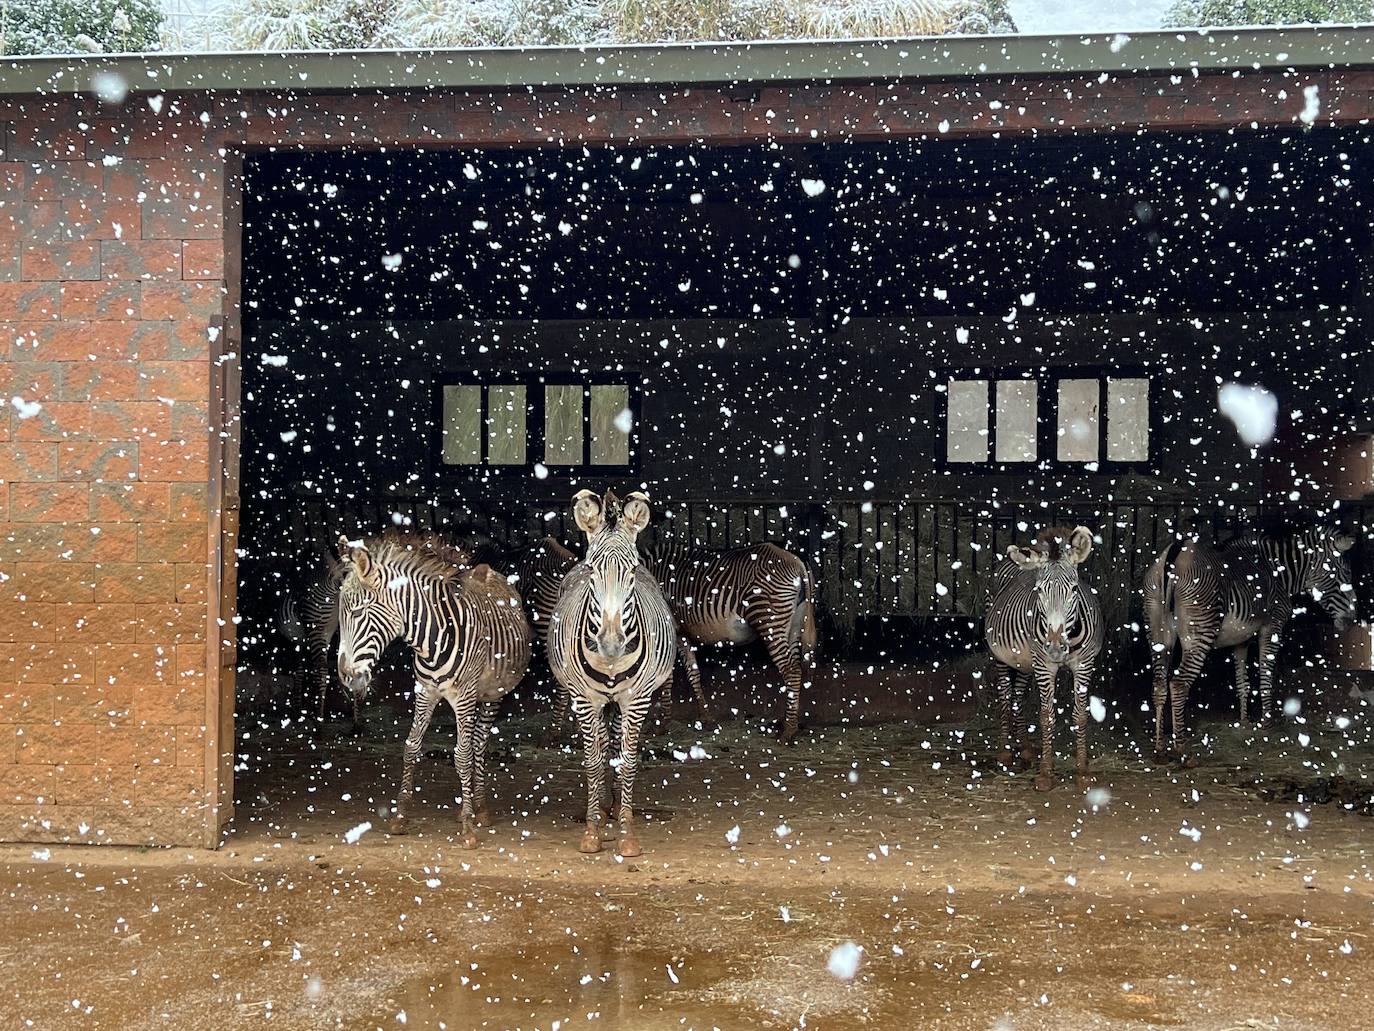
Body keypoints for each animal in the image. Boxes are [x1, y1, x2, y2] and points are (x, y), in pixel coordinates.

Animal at [332, 533, 530, 846]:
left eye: (359, 612)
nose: (347, 678)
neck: (431, 641)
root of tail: (492, 572)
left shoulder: (464, 696)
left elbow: (462, 755)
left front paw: (468, 827)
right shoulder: (425, 691)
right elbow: (411, 747)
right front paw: (400, 816)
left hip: (491, 695)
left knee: (479, 743)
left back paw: (480, 808)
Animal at [544, 489, 678, 857]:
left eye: (631, 572)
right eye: (593, 572)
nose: (611, 643)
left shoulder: (637, 698)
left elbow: (628, 760)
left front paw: (627, 833)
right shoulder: (583, 698)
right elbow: (592, 759)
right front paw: (592, 831)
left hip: (620, 702)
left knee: (616, 743)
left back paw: (616, 806)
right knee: (604, 744)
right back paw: (603, 808)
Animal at [640, 541, 813, 742]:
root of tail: (797, 562)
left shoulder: (668, 630)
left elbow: (666, 676)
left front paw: (662, 724)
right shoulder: (682, 633)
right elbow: (693, 673)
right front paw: (706, 719)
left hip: (770, 620)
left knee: (791, 670)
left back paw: (788, 731)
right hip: (794, 626)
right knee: (796, 667)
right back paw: (787, 723)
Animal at [989, 527, 1104, 797]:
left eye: (1074, 589)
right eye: (1039, 590)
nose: (1054, 648)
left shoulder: (1085, 664)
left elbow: (1080, 714)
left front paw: (1083, 773)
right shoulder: (1044, 666)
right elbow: (1046, 716)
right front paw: (1045, 774)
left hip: (1024, 663)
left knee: (1018, 697)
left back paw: (1026, 750)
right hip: (1003, 658)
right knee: (1005, 697)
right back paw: (1005, 753)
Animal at [1143, 527, 1357, 764]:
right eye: (1343, 574)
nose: (1352, 620)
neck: (1279, 572)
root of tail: (1175, 551)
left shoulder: (1241, 639)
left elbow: (1242, 681)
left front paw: (1244, 721)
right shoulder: (1272, 628)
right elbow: (1266, 677)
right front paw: (1267, 725)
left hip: (1157, 633)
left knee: (1159, 685)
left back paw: (1159, 750)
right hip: (1200, 633)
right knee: (1179, 685)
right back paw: (1182, 751)